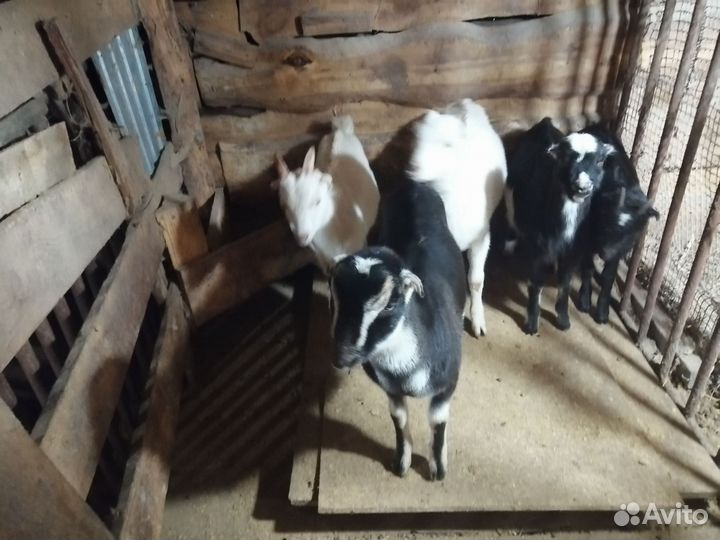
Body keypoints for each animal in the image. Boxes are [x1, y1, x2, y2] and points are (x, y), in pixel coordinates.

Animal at [331, 182, 465, 481]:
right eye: (335, 298)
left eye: (391, 304)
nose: (342, 357)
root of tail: (415, 186)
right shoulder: (390, 389)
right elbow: (399, 419)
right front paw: (401, 463)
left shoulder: (448, 385)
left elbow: (437, 422)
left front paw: (438, 469)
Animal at [408, 98, 506, 337]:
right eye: (417, 140)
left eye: (447, 145)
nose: (414, 167)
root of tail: (464, 103)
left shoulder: (482, 239)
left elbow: (476, 281)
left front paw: (477, 320)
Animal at [505, 118, 614, 335]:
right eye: (565, 159)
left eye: (600, 161)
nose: (582, 187)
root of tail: (545, 122)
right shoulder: (537, 251)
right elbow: (535, 285)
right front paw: (531, 323)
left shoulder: (573, 252)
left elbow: (564, 285)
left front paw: (563, 320)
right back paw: (510, 243)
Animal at [578, 123, 659, 323]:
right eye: (605, 223)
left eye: (630, 233)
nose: (605, 252)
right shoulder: (588, 233)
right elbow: (587, 266)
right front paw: (584, 302)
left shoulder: (620, 250)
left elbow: (609, 275)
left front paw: (602, 313)